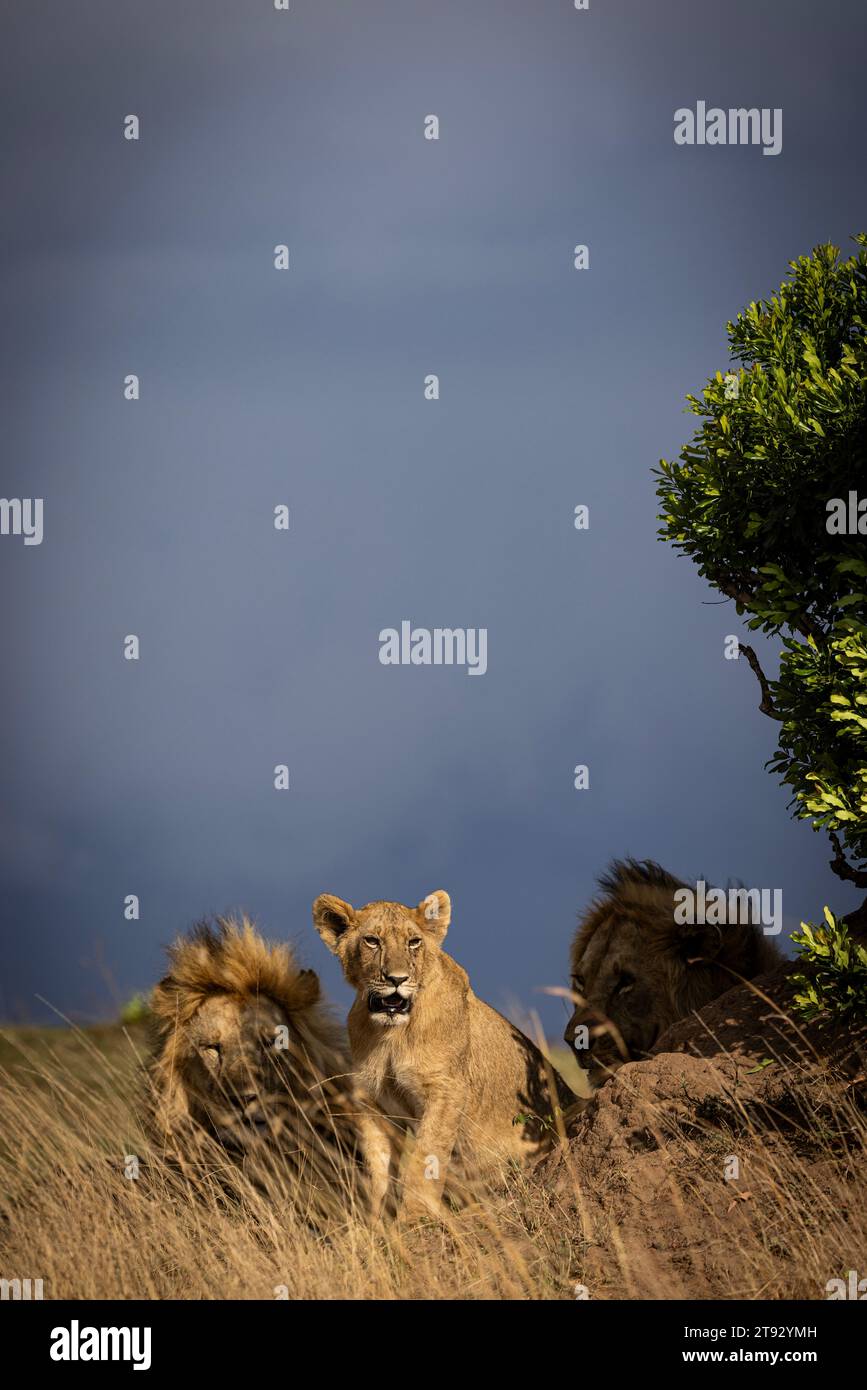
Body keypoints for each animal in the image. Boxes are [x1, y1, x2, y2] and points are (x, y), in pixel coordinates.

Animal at [313, 889, 575, 1217]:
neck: (391, 1033)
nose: (396, 979)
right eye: (372, 940)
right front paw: (375, 1222)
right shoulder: (372, 1100)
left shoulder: (446, 1089)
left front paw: (416, 1217)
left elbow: (426, 1158)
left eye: (414, 942)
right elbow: (378, 1166)